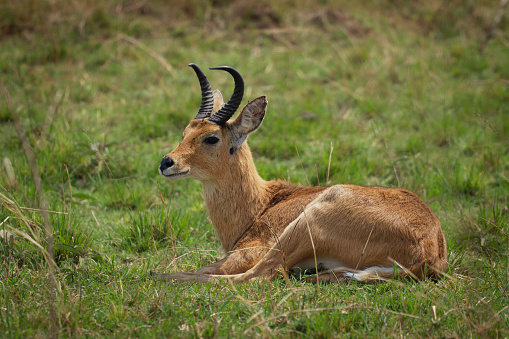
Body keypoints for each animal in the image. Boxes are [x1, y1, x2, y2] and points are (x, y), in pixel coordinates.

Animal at [154, 63, 444, 284]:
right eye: (185, 132)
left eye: (211, 138)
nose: (167, 162)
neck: (262, 204)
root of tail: (429, 251)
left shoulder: (252, 250)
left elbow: (212, 267)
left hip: (302, 228)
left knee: (258, 276)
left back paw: (157, 276)